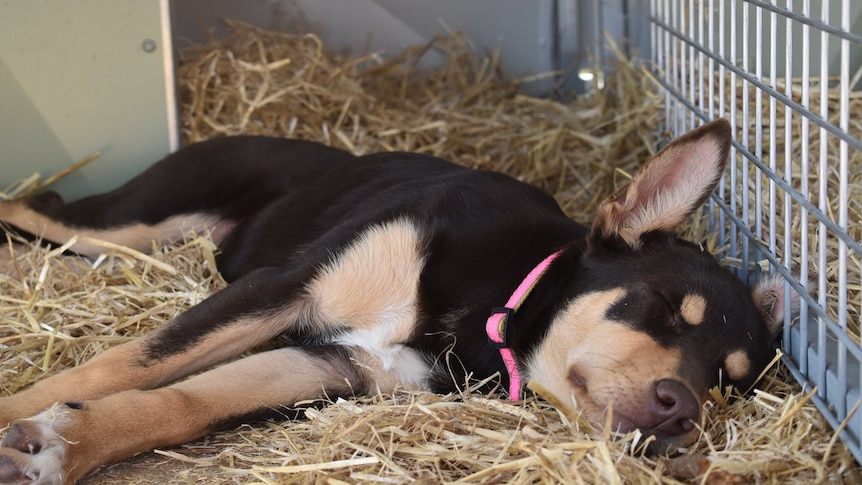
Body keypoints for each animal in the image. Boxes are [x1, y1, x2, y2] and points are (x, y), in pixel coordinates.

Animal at [0, 118, 788, 484]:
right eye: (663, 307)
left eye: (728, 385)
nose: (681, 411)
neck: (490, 308)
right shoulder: (284, 287)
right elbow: (125, 364)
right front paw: (18, 411)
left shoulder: (336, 365)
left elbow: (180, 403)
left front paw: (57, 445)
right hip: (124, 225)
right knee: (35, 209)